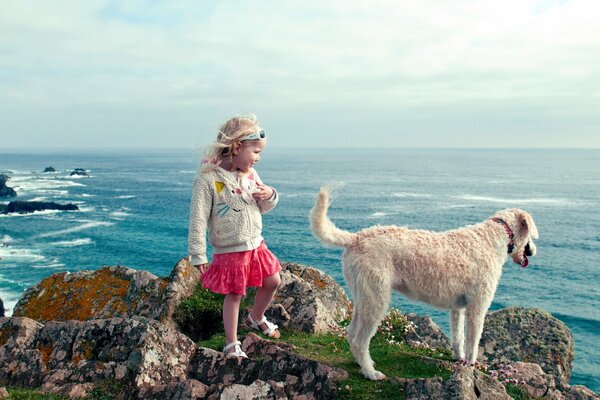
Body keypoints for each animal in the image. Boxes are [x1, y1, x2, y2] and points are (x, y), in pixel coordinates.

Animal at [310, 186, 540, 380]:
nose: (534, 251)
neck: (494, 237)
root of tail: (356, 238)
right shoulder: (477, 307)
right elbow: (473, 342)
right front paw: (471, 366)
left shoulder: (458, 307)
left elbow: (458, 337)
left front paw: (459, 359)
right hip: (376, 299)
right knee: (359, 340)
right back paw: (370, 373)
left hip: (363, 295)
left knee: (351, 334)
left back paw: (364, 364)